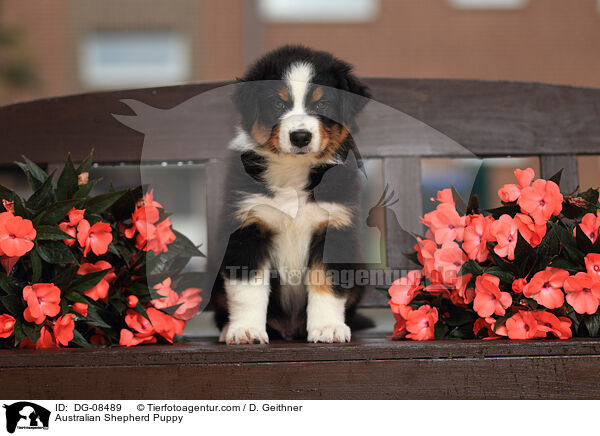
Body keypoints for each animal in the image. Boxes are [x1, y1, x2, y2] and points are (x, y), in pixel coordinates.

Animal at [211, 44, 370, 344]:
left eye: (322, 104)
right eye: (277, 104)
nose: (300, 137)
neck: (292, 173)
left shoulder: (334, 226)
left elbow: (326, 283)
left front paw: (328, 328)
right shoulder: (248, 228)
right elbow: (248, 289)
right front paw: (246, 330)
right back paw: (229, 328)